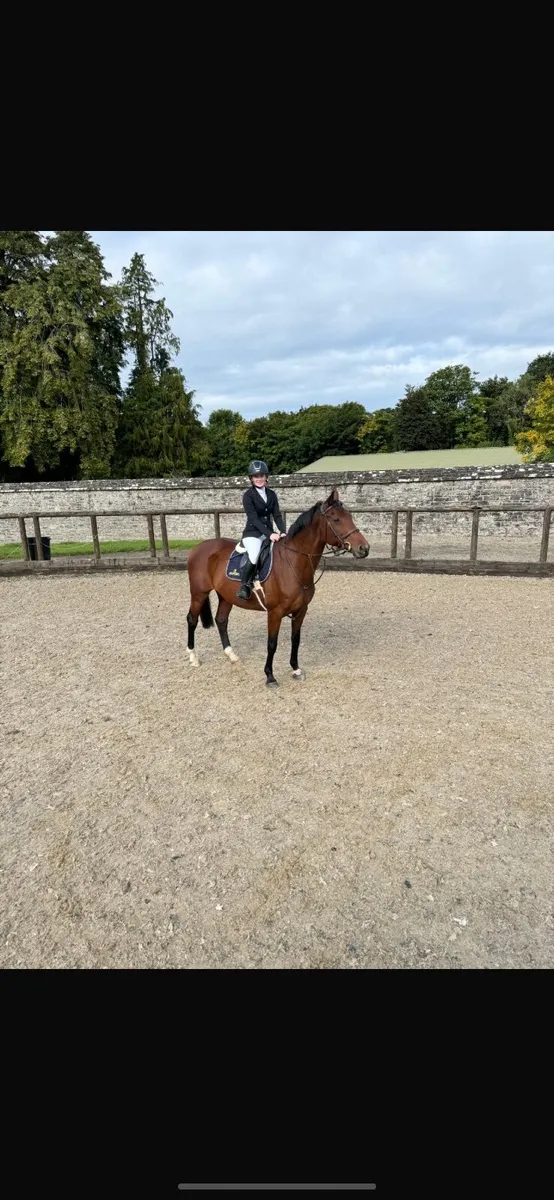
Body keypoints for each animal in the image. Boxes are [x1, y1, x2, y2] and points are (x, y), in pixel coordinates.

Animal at [185, 487, 370, 687]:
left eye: (350, 516)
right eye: (336, 519)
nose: (364, 548)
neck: (294, 564)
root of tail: (198, 548)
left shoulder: (301, 610)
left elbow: (295, 640)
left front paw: (296, 669)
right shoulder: (275, 613)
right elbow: (272, 644)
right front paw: (270, 676)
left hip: (226, 596)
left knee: (221, 620)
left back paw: (232, 655)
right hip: (199, 593)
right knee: (192, 620)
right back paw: (193, 658)